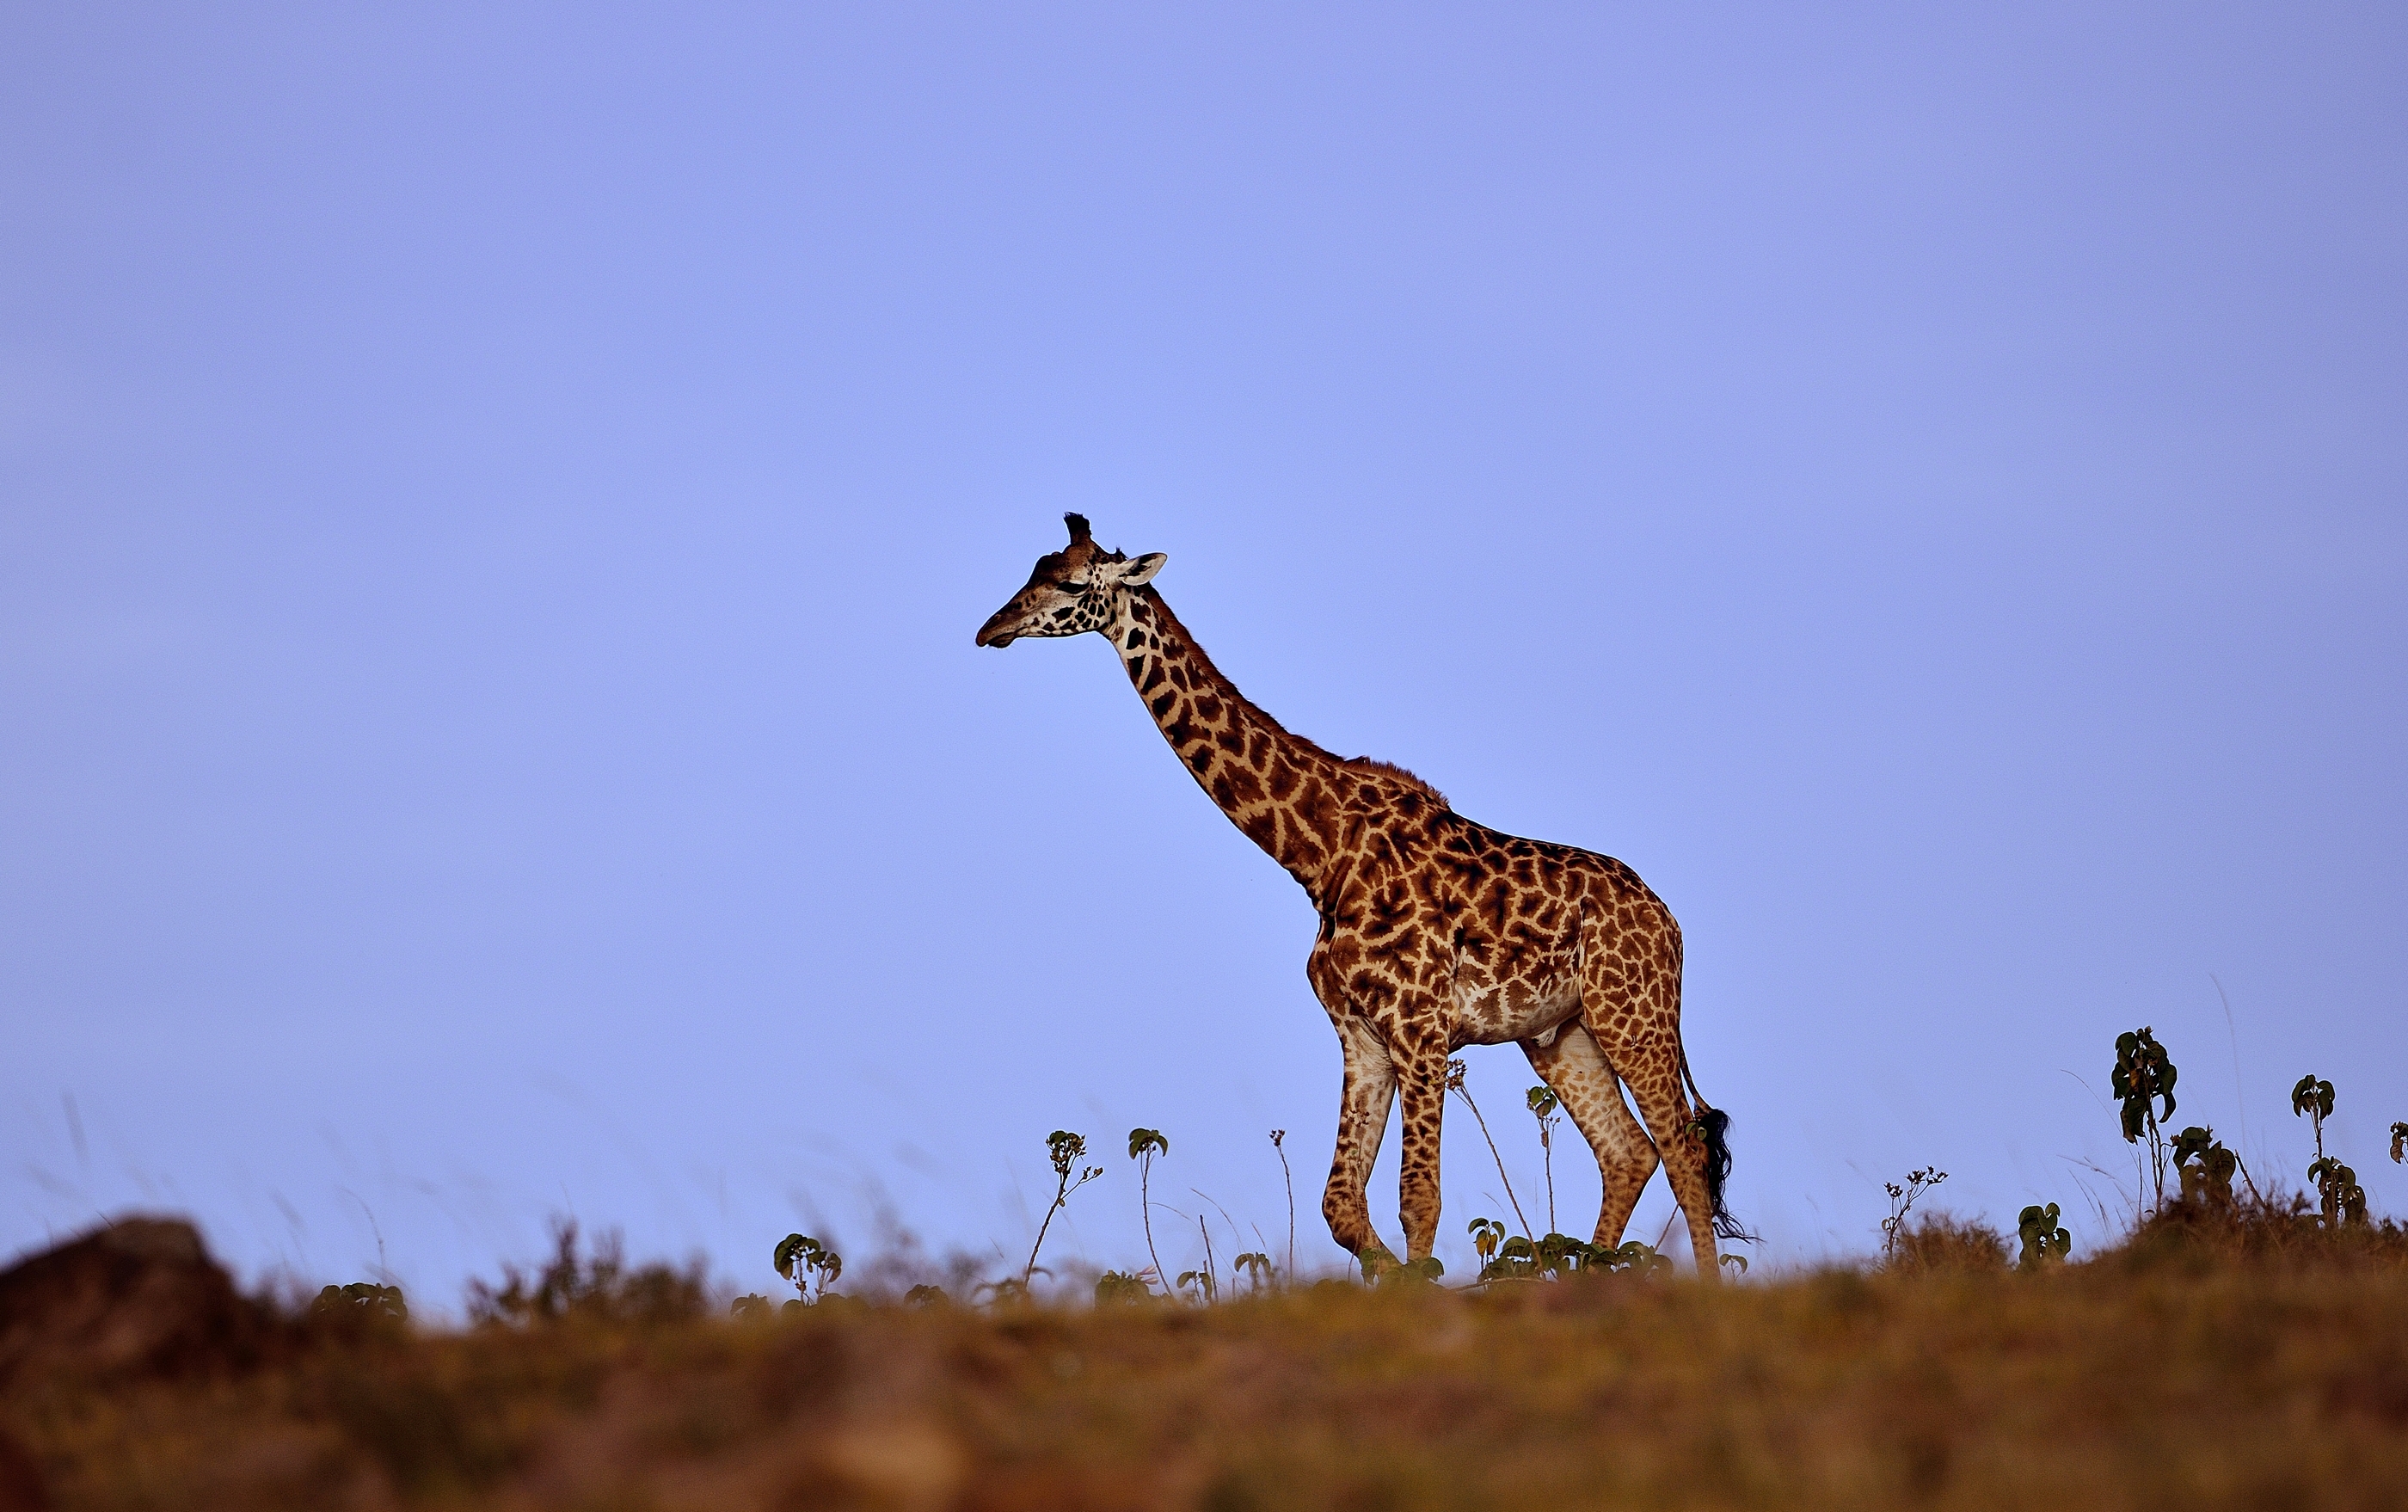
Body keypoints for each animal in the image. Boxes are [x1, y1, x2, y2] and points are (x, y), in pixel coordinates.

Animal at [975, 515, 1745, 1277]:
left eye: (1072, 583)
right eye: (1034, 569)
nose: (991, 629)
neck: (1320, 853)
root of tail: (1670, 922)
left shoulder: (1421, 1027)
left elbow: (1418, 1200)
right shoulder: (1361, 1034)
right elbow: (1342, 1206)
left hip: (1631, 1015)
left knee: (1682, 1149)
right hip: (1561, 1034)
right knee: (1629, 1152)